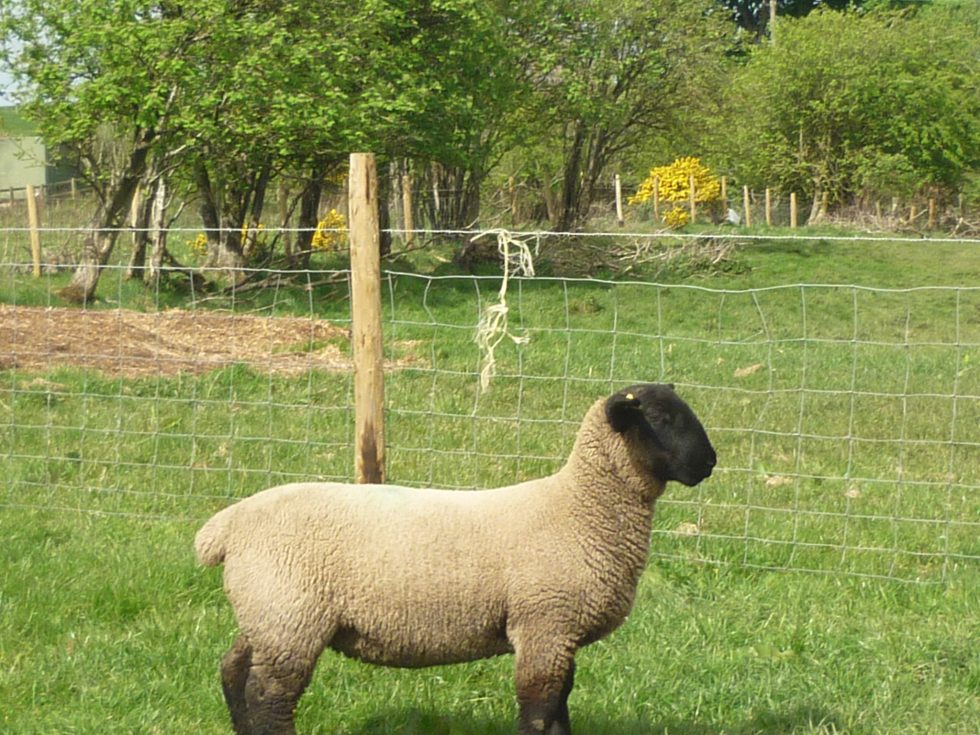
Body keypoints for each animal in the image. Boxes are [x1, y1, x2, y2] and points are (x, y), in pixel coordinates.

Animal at [195, 382, 716, 735]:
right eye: (661, 419)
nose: (710, 463)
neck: (579, 508)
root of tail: (226, 526)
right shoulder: (545, 623)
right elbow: (540, 710)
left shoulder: (557, 631)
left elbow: (560, 704)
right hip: (292, 617)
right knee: (269, 697)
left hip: (270, 613)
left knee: (233, 670)